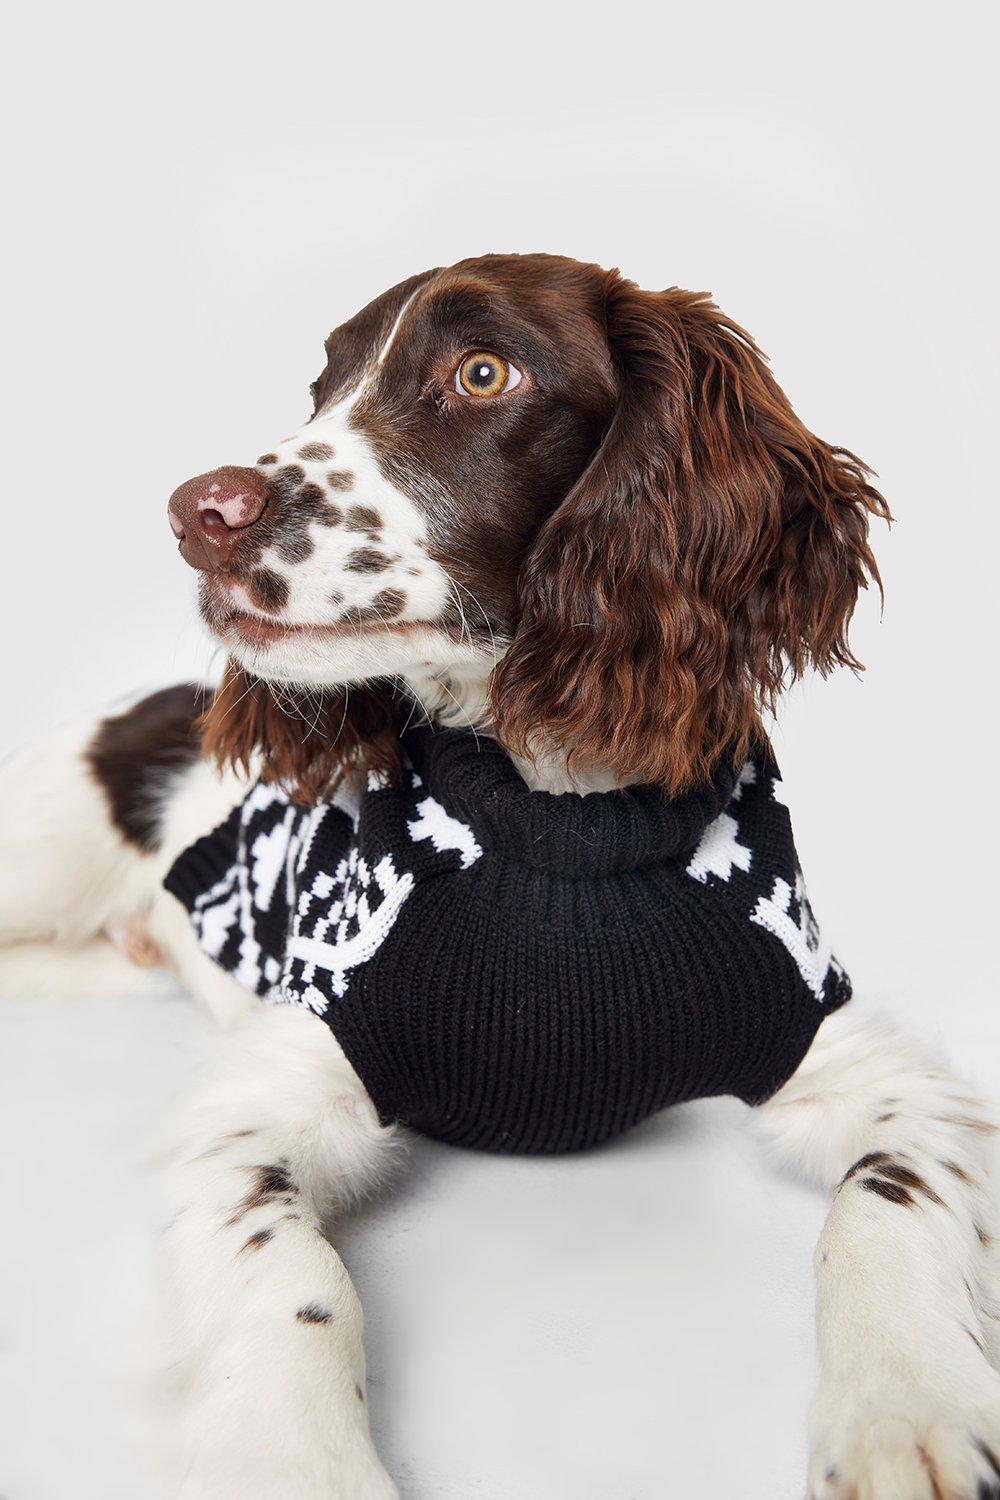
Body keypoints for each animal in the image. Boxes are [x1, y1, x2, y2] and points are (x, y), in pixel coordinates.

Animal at [1, 252, 1000, 1494]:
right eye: (322, 383)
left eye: (483, 373)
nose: (197, 513)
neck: (558, 826)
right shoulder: (266, 1098)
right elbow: (296, 1276)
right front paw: (299, 1459)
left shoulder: (866, 1060)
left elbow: (886, 1208)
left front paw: (903, 1410)